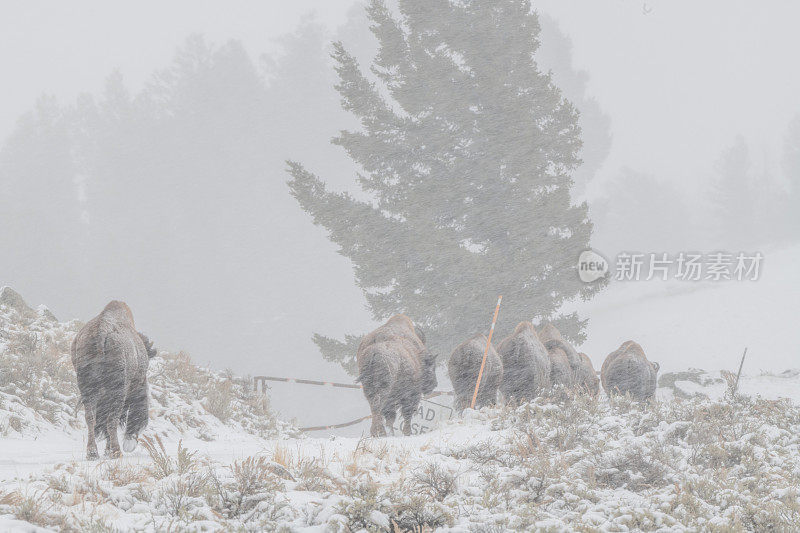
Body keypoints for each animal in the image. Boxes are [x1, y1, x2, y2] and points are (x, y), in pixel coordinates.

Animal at [72, 302, 156, 460]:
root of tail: (101, 331)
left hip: (88, 389)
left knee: (91, 418)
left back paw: (92, 453)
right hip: (117, 391)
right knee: (112, 419)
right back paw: (116, 451)